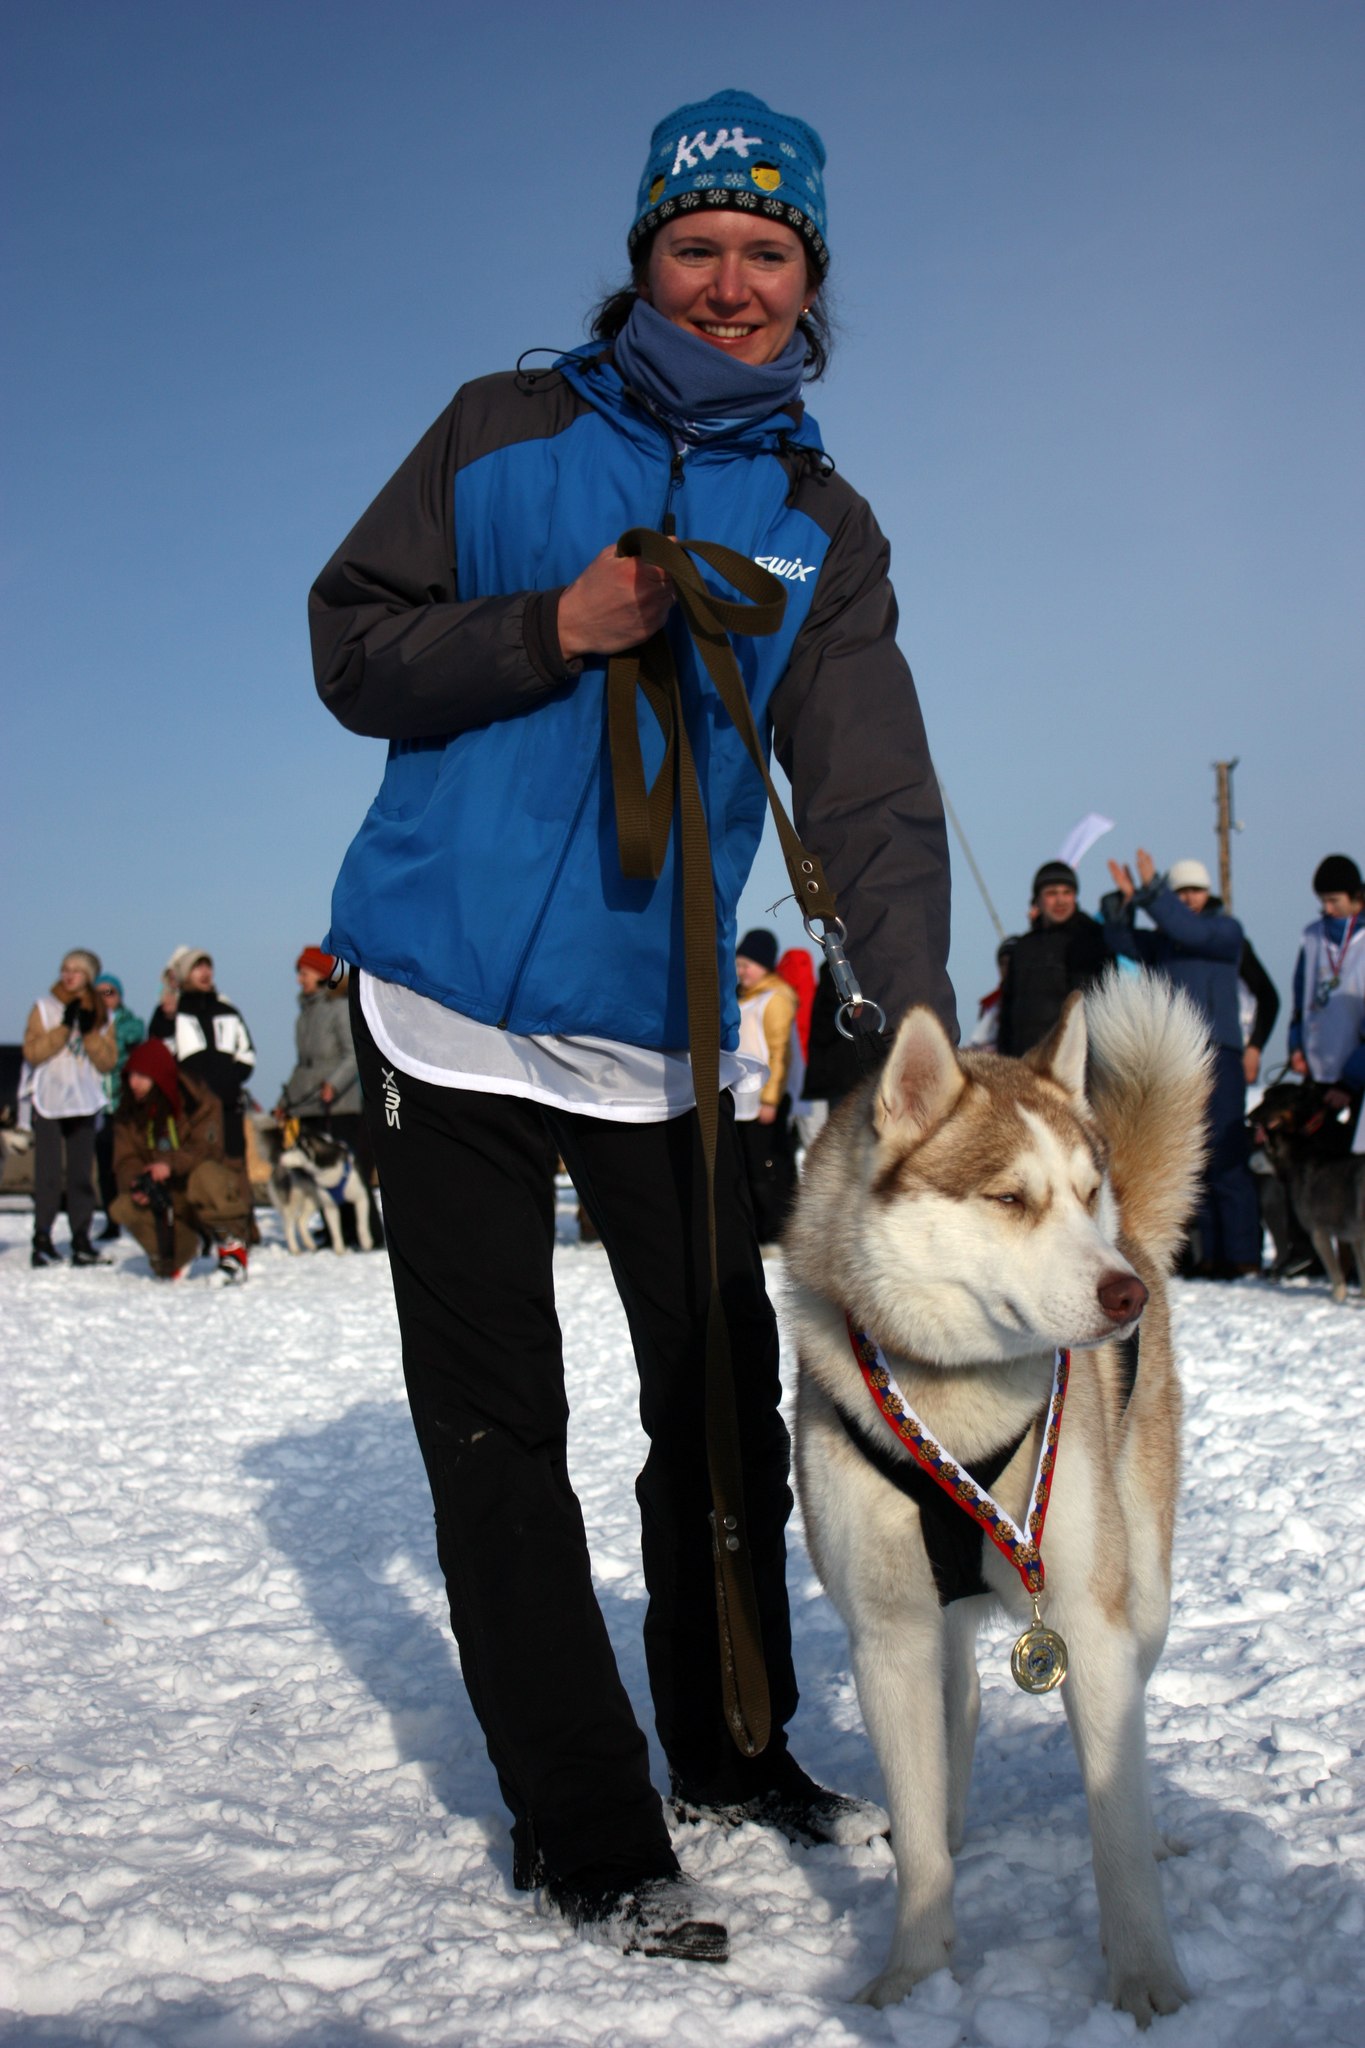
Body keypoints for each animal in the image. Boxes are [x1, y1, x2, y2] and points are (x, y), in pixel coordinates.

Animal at [272, 1125, 374, 1255]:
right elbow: (335, 1231)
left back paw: (310, 1244)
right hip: (294, 1200)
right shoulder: (329, 1205)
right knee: (289, 1226)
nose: (279, 1158)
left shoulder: (360, 1197)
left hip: (313, 1199)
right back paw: (295, 1249)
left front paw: (366, 1242)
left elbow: (361, 1225)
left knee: (300, 1221)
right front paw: (339, 1251)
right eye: (291, 1147)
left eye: (294, 1148)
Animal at [786, 970, 1212, 2025]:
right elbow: (916, 1832)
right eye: (1010, 1198)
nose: (1125, 1296)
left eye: (1086, 1193)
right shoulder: (887, 1632)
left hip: (1143, 1586)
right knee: (963, 1706)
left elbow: (1112, 1819)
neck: (956, 1402)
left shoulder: (1087, 1623)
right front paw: (912, 1975)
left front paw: (1147, 1985)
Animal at [1253, 1079, 1363, 1302]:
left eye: (1275, 1099)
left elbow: (1338, 1267)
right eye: (1264, 1097)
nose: (1249, 1118)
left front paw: (1340, 1292)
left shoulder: (1323, 1228)